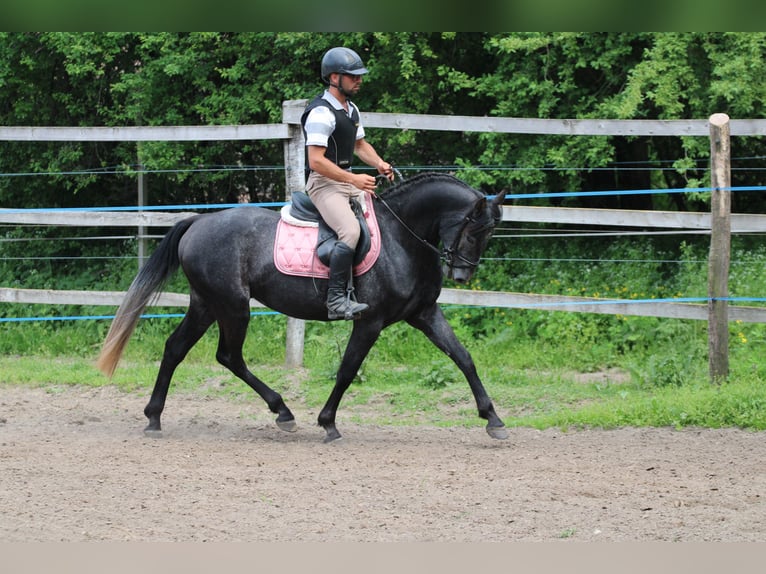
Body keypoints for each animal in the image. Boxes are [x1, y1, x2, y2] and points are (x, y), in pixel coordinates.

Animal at [96, 172, 508, 443]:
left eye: (489, 232)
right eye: (474, 229)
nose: (462, 273)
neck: (401, 238)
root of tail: (199, 222)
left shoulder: (423, 314)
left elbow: (463, 357)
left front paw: (493, 418)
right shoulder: (369, 321)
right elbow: (347, 370)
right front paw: (328, 423)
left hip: (207, 305)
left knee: (177, 349)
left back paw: (155, 417)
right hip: (232, 306)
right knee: (228, 356)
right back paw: (282, 411)